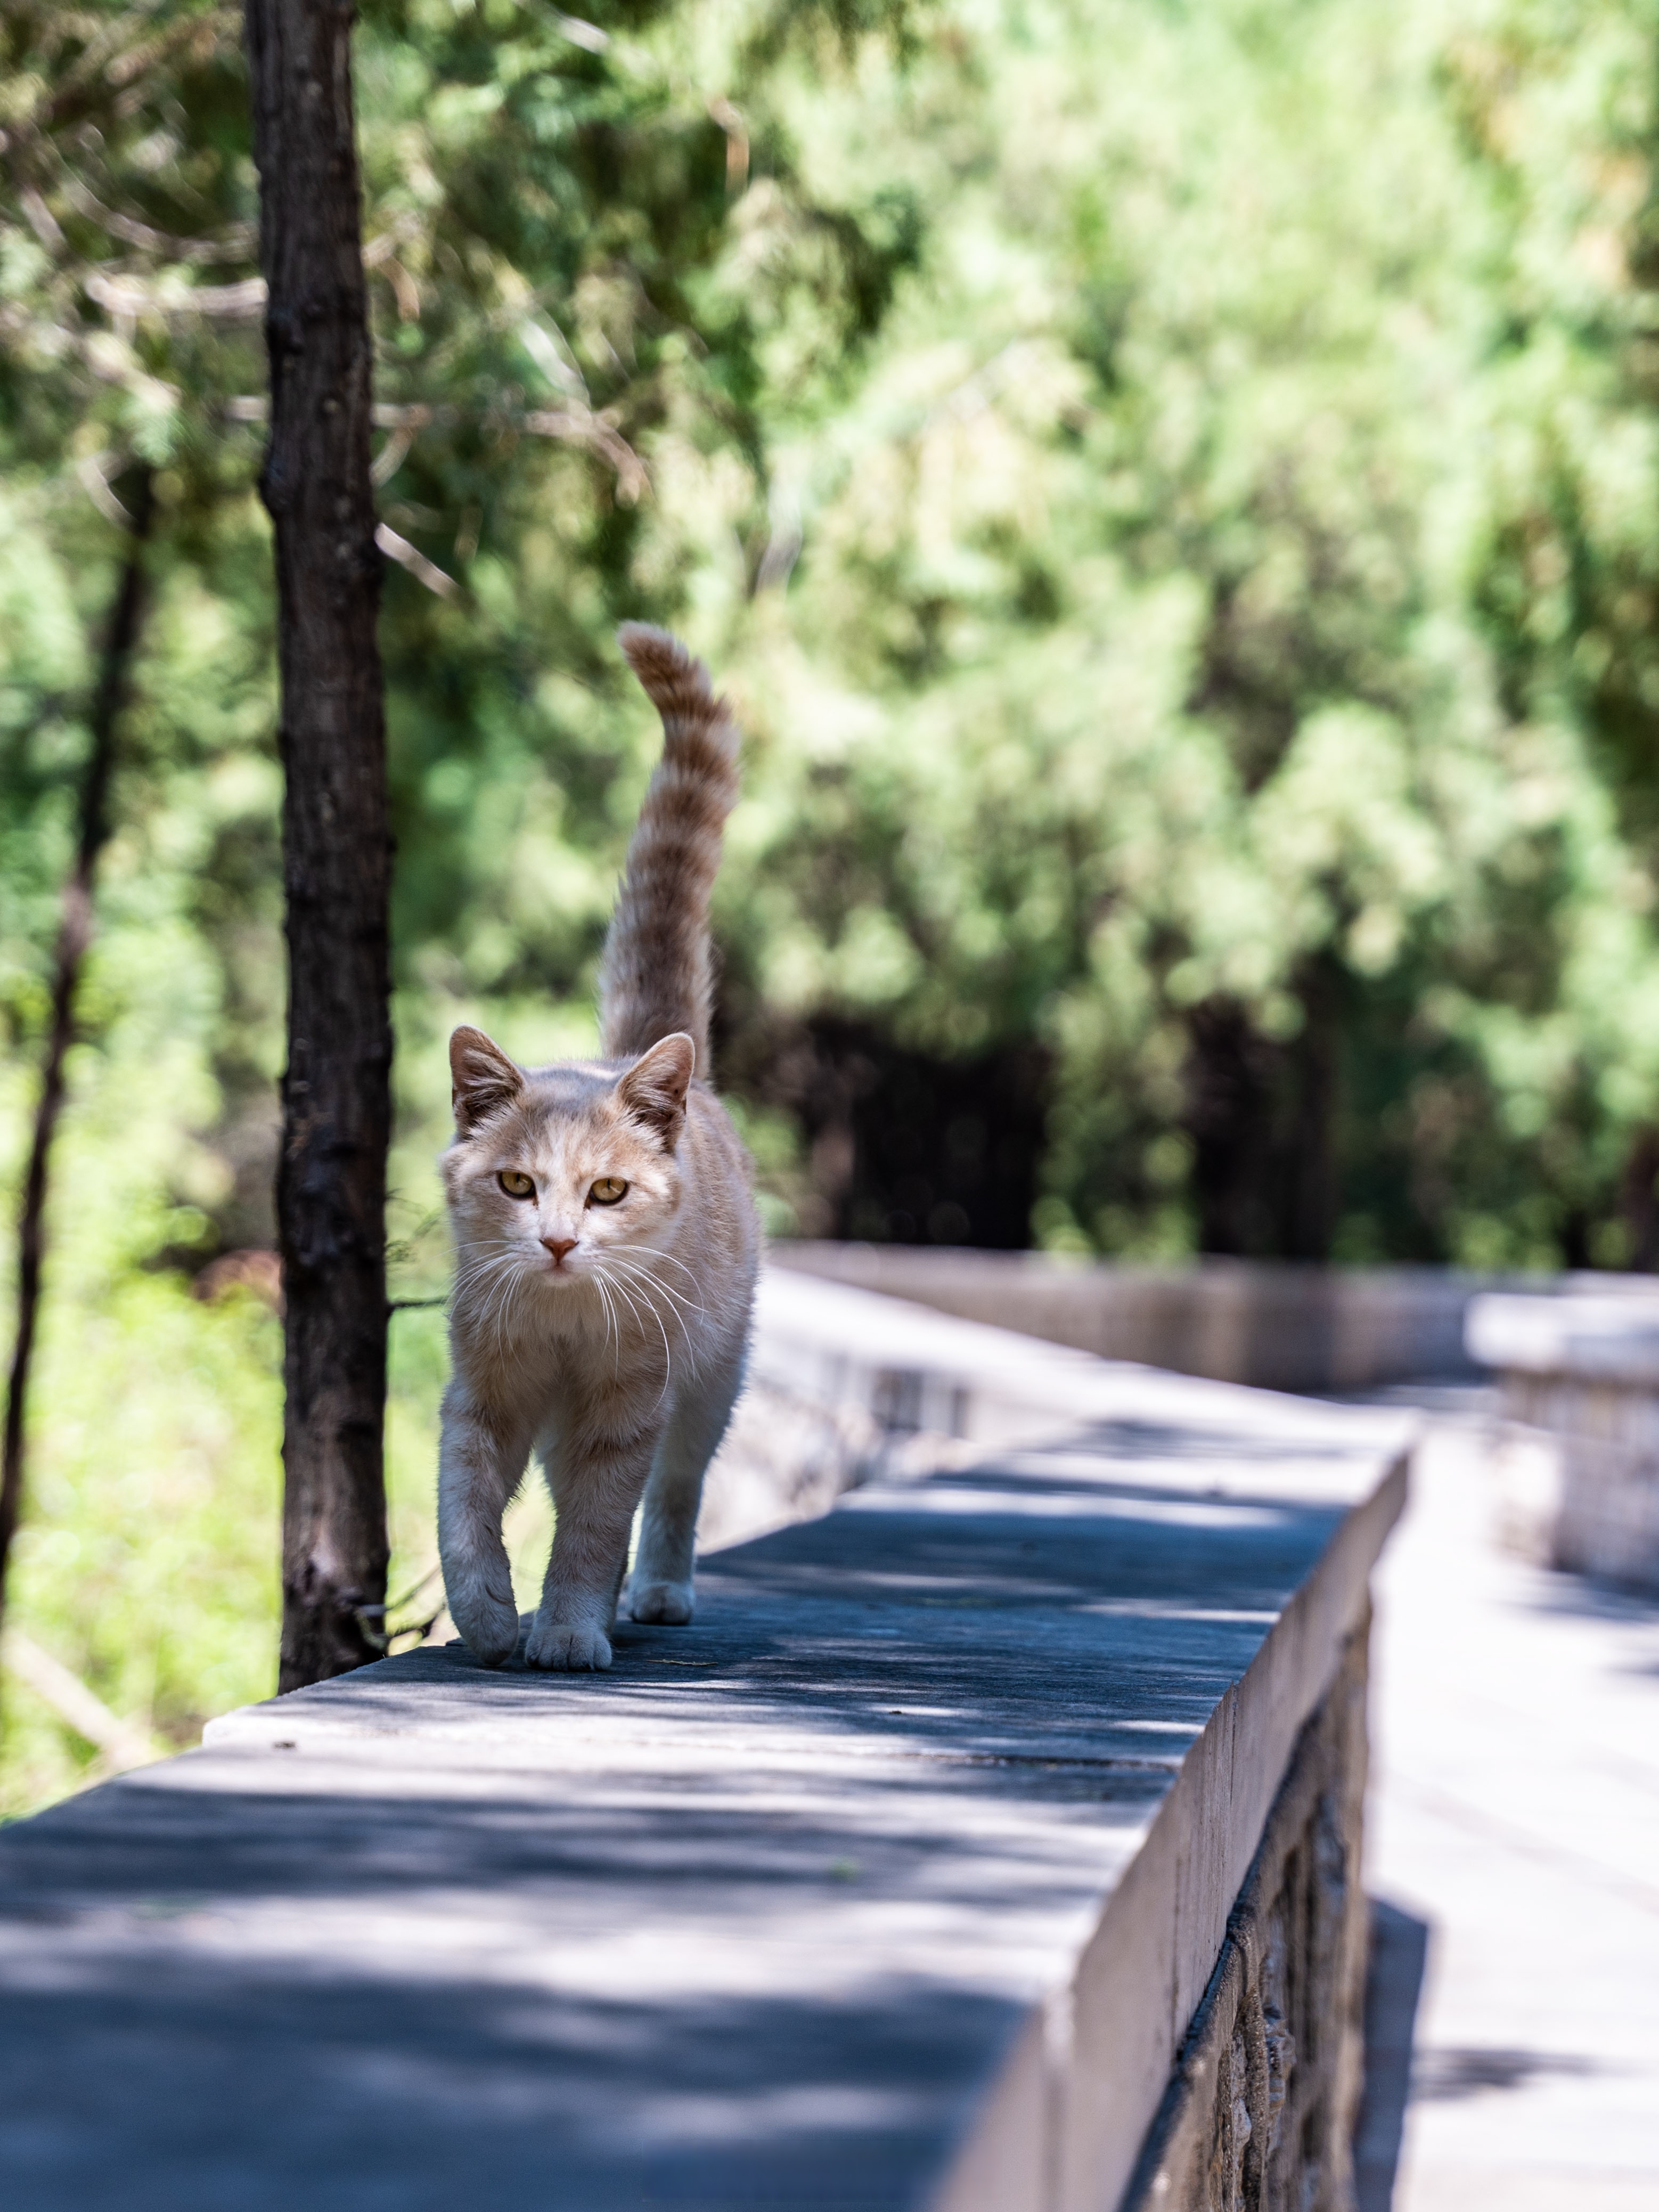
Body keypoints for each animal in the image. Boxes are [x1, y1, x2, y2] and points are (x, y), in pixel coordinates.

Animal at [436, 615, 761, 1663]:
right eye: (517, 1185)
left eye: (608, 1192)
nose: (557, 1242)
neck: (564, 1324)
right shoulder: (486, 1395)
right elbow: (463, 1511)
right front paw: (488, 1614)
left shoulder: (625, 1407)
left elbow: (591, 1525)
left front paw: (571, 1627)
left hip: (709, 1386)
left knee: (676, 1491)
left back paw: (655, 1589)